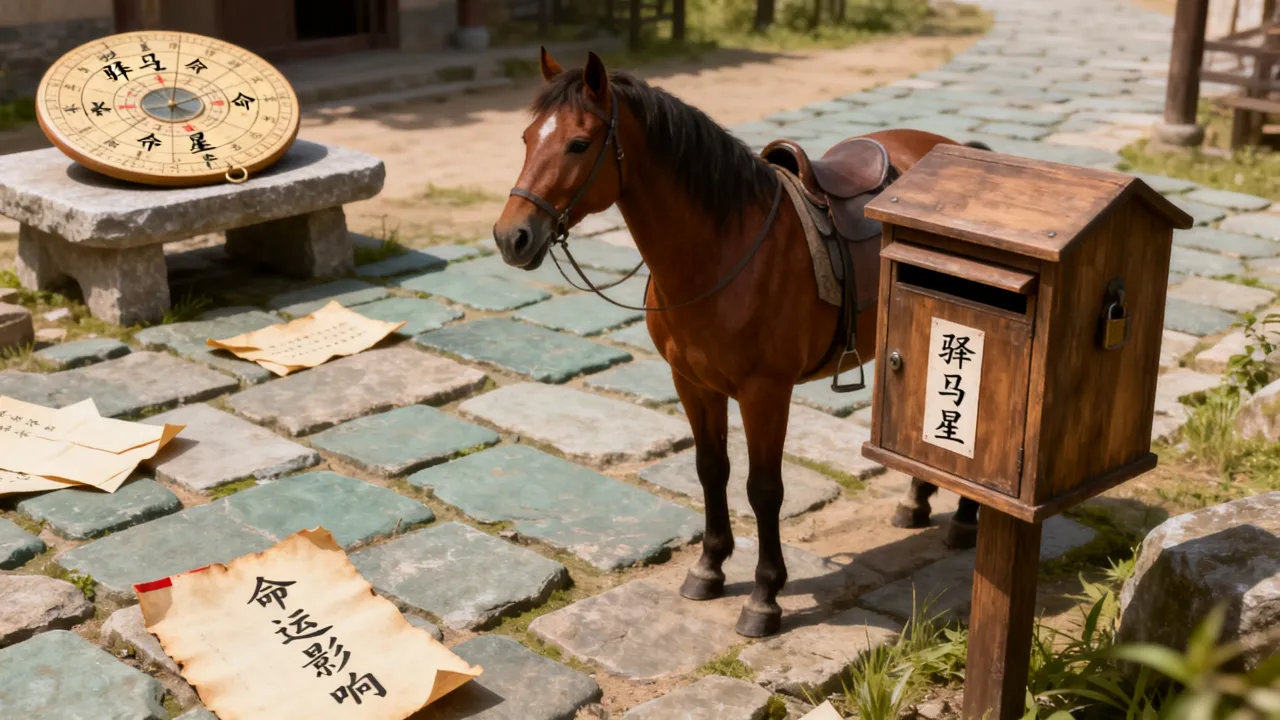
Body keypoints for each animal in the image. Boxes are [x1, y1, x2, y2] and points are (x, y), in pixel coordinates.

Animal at [493, 48, 980, 638]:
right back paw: (916, 503)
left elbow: (763, 489)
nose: (511, 237)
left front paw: (765, 596)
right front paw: (709, 567)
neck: (722, 250)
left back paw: (964, 521)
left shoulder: (765, 392)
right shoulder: (693, 383)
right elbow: (711, 471)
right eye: (525, 138)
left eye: (579, 144)